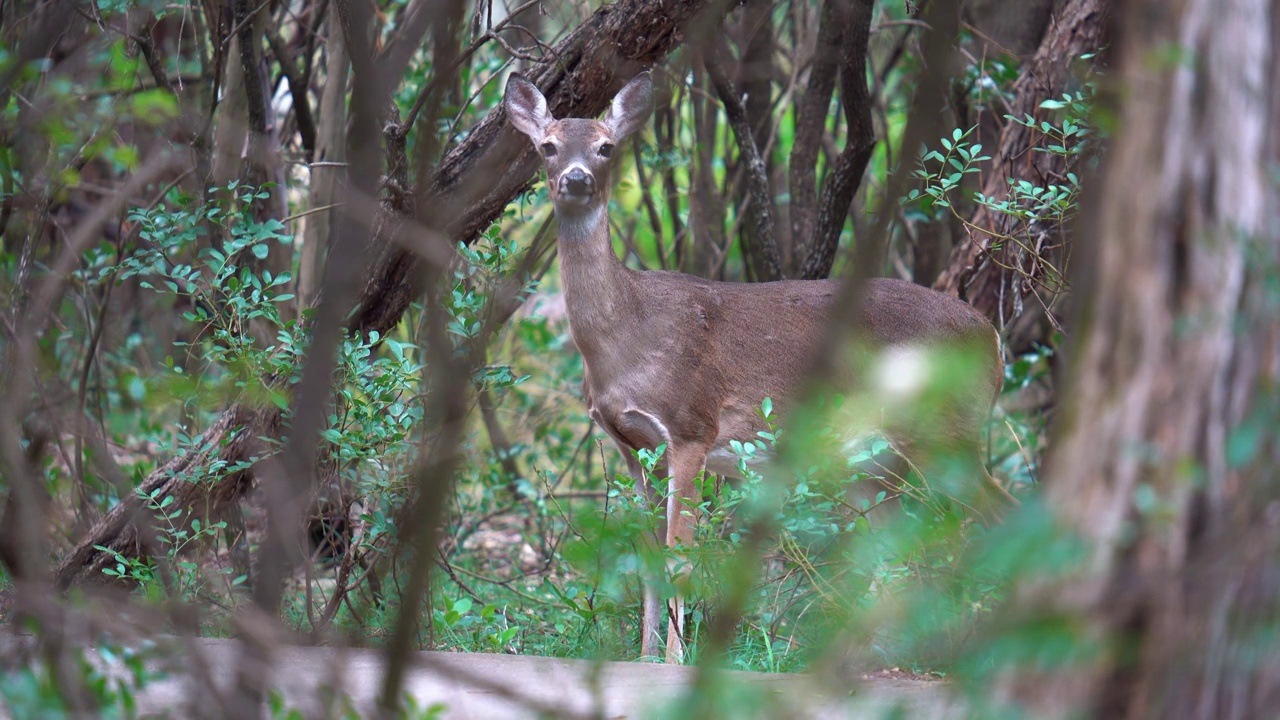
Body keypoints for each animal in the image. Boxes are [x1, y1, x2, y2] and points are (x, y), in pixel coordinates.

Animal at [501, 71, 1008, 661]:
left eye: (606, 147)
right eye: (547, 146)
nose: (577, 178)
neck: (629, 337)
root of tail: (993, 338)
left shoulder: (692, 427)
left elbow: (680, 556)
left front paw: (674, 661)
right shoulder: (631, 446)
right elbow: (647, 559)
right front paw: (644, 657)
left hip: (946, 431)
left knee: (999, 514)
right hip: (873, 464)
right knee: (895, 554)